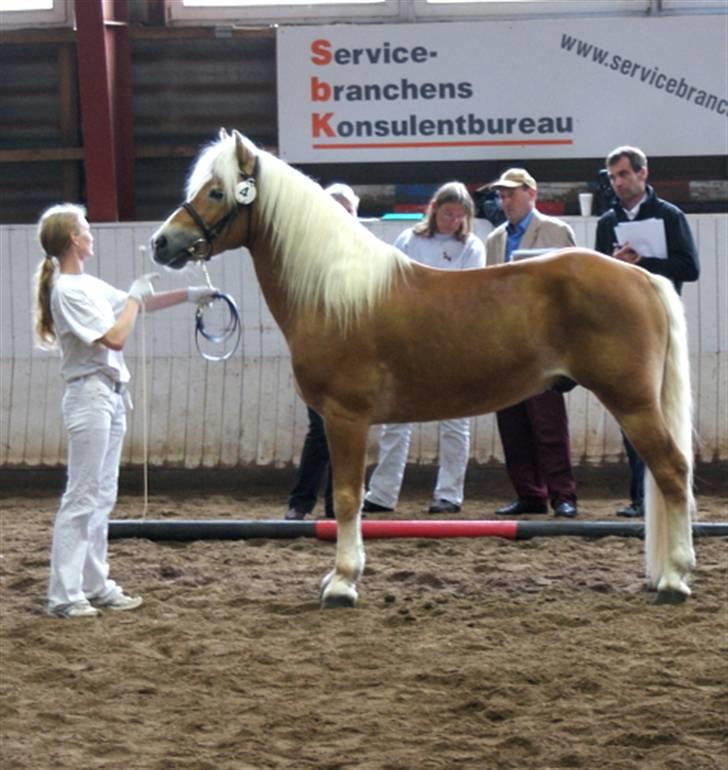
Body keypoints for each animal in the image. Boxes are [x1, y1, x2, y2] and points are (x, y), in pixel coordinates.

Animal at [151, 127, 696, 608]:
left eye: (217, 191)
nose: (161, 242)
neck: (334, 293)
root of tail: (641, 276)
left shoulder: (346, 417)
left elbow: (347, 498)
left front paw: (342, 583)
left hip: (633, 403)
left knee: (672, 472)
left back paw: (674, 578)